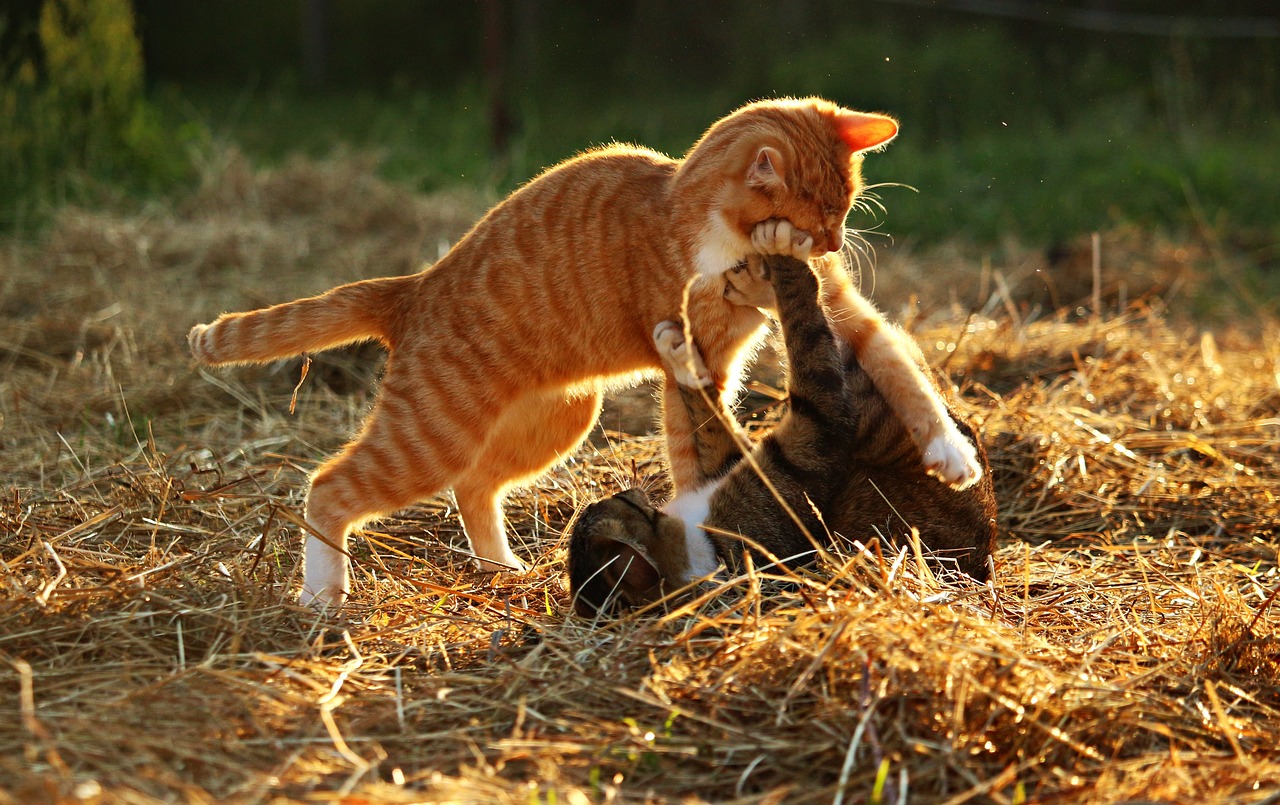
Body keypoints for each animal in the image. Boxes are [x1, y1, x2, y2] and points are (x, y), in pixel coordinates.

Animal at [570, 226, 998, 614]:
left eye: (609, 502)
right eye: (624, 502)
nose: (629, 490)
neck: (704, 542)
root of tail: (983, 561)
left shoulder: (729, 457)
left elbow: (708, 413)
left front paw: (678, 350)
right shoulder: (812, 433)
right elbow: (805, 328)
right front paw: (784, 257)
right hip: (875, 415)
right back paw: (768, 266)